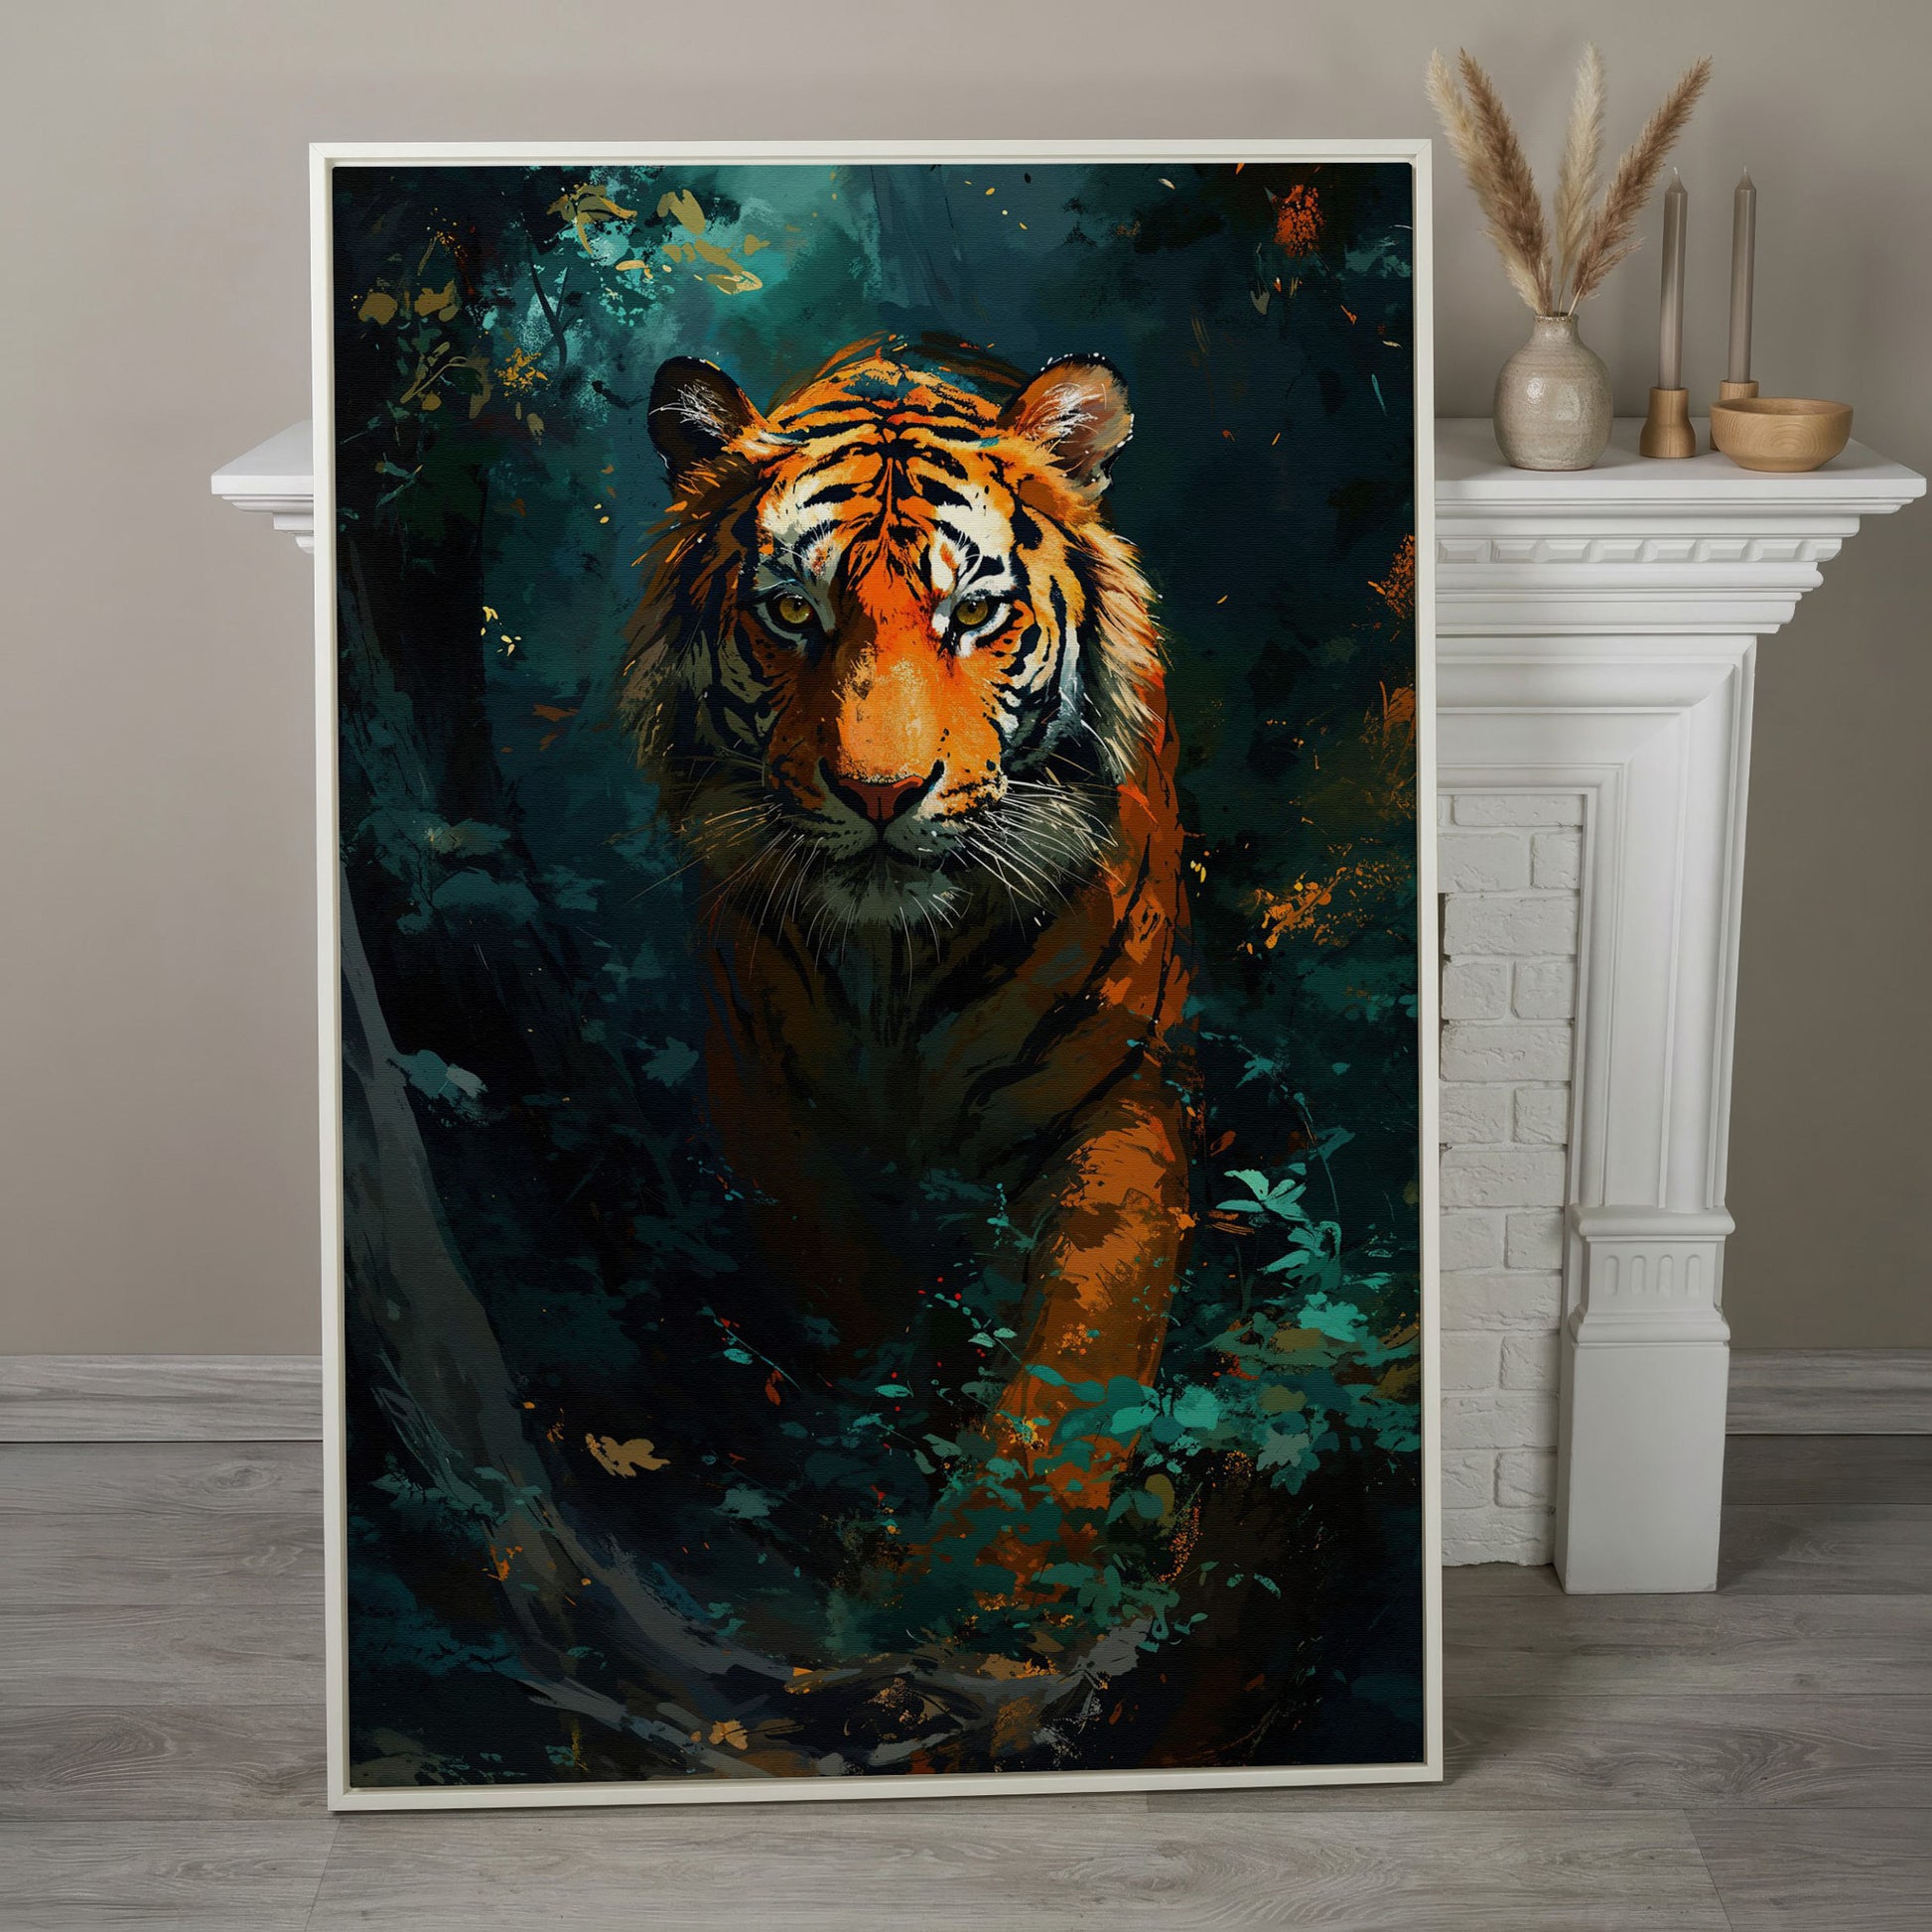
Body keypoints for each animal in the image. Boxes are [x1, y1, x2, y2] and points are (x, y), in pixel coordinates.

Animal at [617, 337, 1196, 1567]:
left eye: (971, 612)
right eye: (792, 609)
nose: (880, 791)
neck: (895, 971)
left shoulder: (1118, 1100)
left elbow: (1074, 1359)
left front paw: (978, 1576)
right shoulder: (767, 1104)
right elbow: (857, 1308)